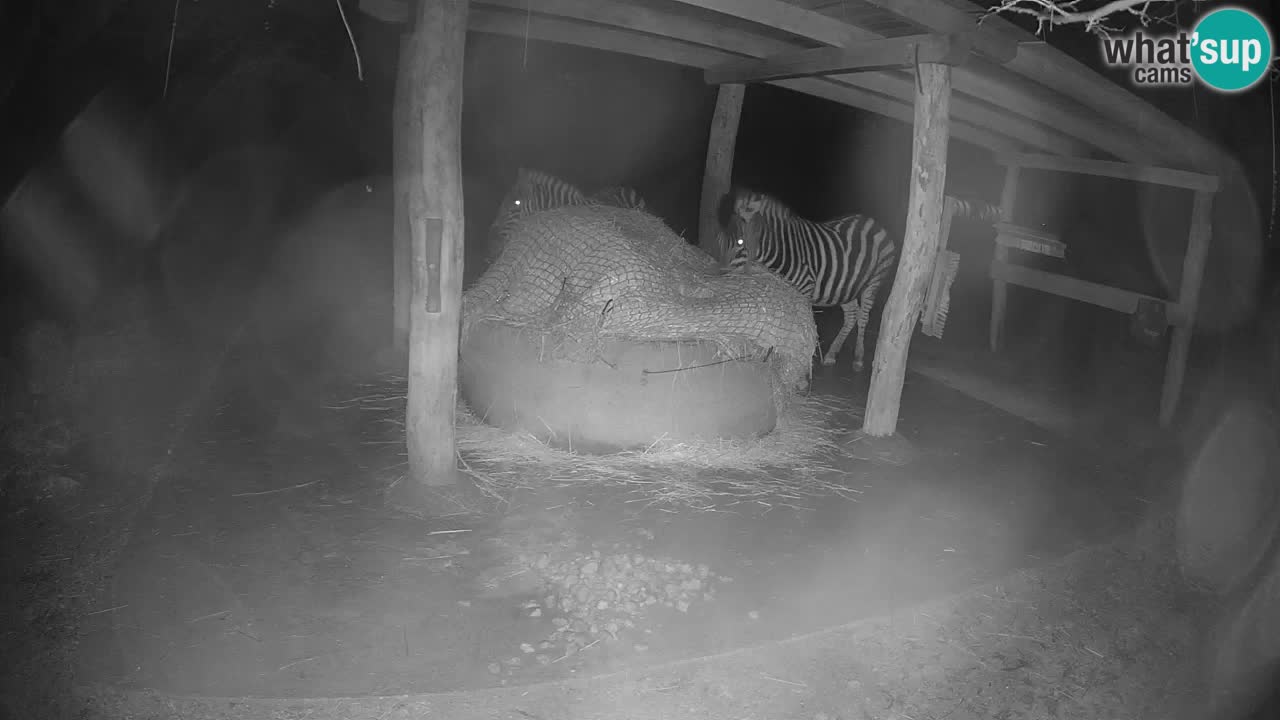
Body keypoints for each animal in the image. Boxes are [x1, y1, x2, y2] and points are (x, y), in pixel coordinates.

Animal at [721, 189, 898, 373]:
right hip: (846, 287)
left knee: (863, 317)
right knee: (851, 316)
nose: (721, 274)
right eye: (722, 239)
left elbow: (802, 323)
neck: (783, 250)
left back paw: (858, 359)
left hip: (874, 281)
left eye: (740, 242)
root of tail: (874, 222)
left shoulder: (805, 289)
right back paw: (831, 354)